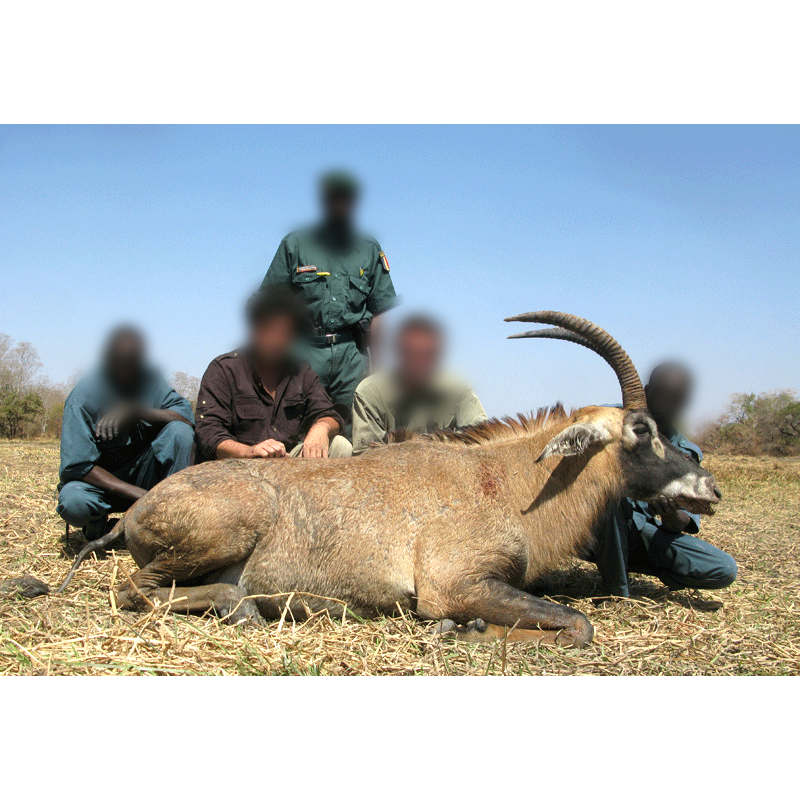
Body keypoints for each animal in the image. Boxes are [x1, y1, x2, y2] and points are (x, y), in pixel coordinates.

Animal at [59, 310, 720, 648]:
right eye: (640, 429)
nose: (708, 488)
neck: (505, 484)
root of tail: (140, 510)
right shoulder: (455, 583)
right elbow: (578, 625)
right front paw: (467, 628)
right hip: (223, 533)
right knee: (134, 591)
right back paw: (246, 607)